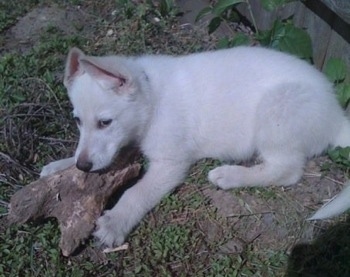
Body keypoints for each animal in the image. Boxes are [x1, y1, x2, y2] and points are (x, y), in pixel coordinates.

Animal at [41, 45, 350, 246]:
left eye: (105, 122)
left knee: (286, 171)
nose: (84, 167)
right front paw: (59, 166)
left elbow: (136, 192)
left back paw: (229, 175)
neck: (151, 97)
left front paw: (116, 221)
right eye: (78, 121)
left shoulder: (171, 163)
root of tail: (336, 115)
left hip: (278, 109)